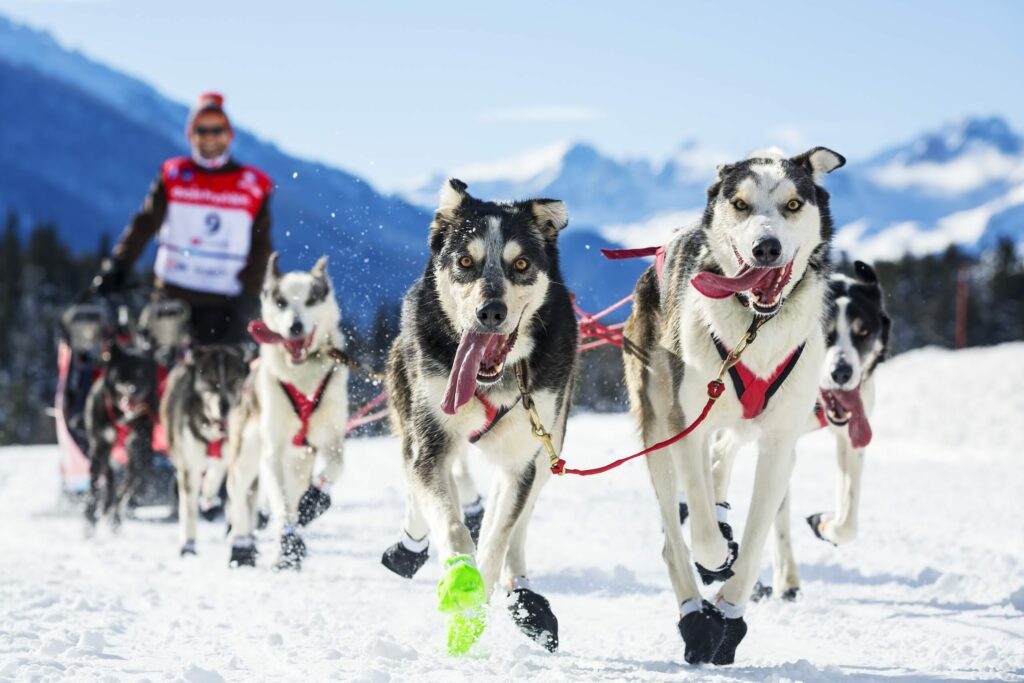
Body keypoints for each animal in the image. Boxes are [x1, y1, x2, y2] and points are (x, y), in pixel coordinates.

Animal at [163, 344, 253, 557]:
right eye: (211, 382)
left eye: (234, 380)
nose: (224, 407)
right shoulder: (189, 465)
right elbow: (189, 508)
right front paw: (188, 545)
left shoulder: (232, 456)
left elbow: (222, 481)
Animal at [227, 253, 348, 569]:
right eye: (281, 302)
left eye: (311, 300)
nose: (295, 326)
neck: (303, 376)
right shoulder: (273, 452)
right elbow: (279, 504)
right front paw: (286, 545)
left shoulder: (331, 442)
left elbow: (334, 468)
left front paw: (313, 502)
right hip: (246, 456)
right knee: (239, 498)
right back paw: (242, 547)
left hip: (299, 463)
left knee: (293, 496)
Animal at [385, 179, 577, 655]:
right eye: (465, 261)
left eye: (521, 263)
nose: (490, 312)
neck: (492, 382)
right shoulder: (431, 443)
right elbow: (453, 526)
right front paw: (459, 581)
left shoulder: (522, 458)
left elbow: (497, 537)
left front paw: (478, 603)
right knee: (418, 480)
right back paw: (411, 544)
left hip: (550, 446)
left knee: (517, 526)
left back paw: (521, 589)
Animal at [622, 147, 847, 663]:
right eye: (740, 204)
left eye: (792, 204)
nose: (767, 247)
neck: (754, 328)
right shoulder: (688, 425)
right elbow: (703, 536)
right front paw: (714, 569)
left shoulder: (780, 444)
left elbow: (760, 532)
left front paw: (730, 612)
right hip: (657, 425)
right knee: (676, 535)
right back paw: (693, 613)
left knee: (722, 465)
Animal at [712, 259, 888, 602]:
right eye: (826, 333)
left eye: (864, 332)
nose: (842, 372)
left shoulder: (842, 439)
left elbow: (848, 521)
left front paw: (824, 526)